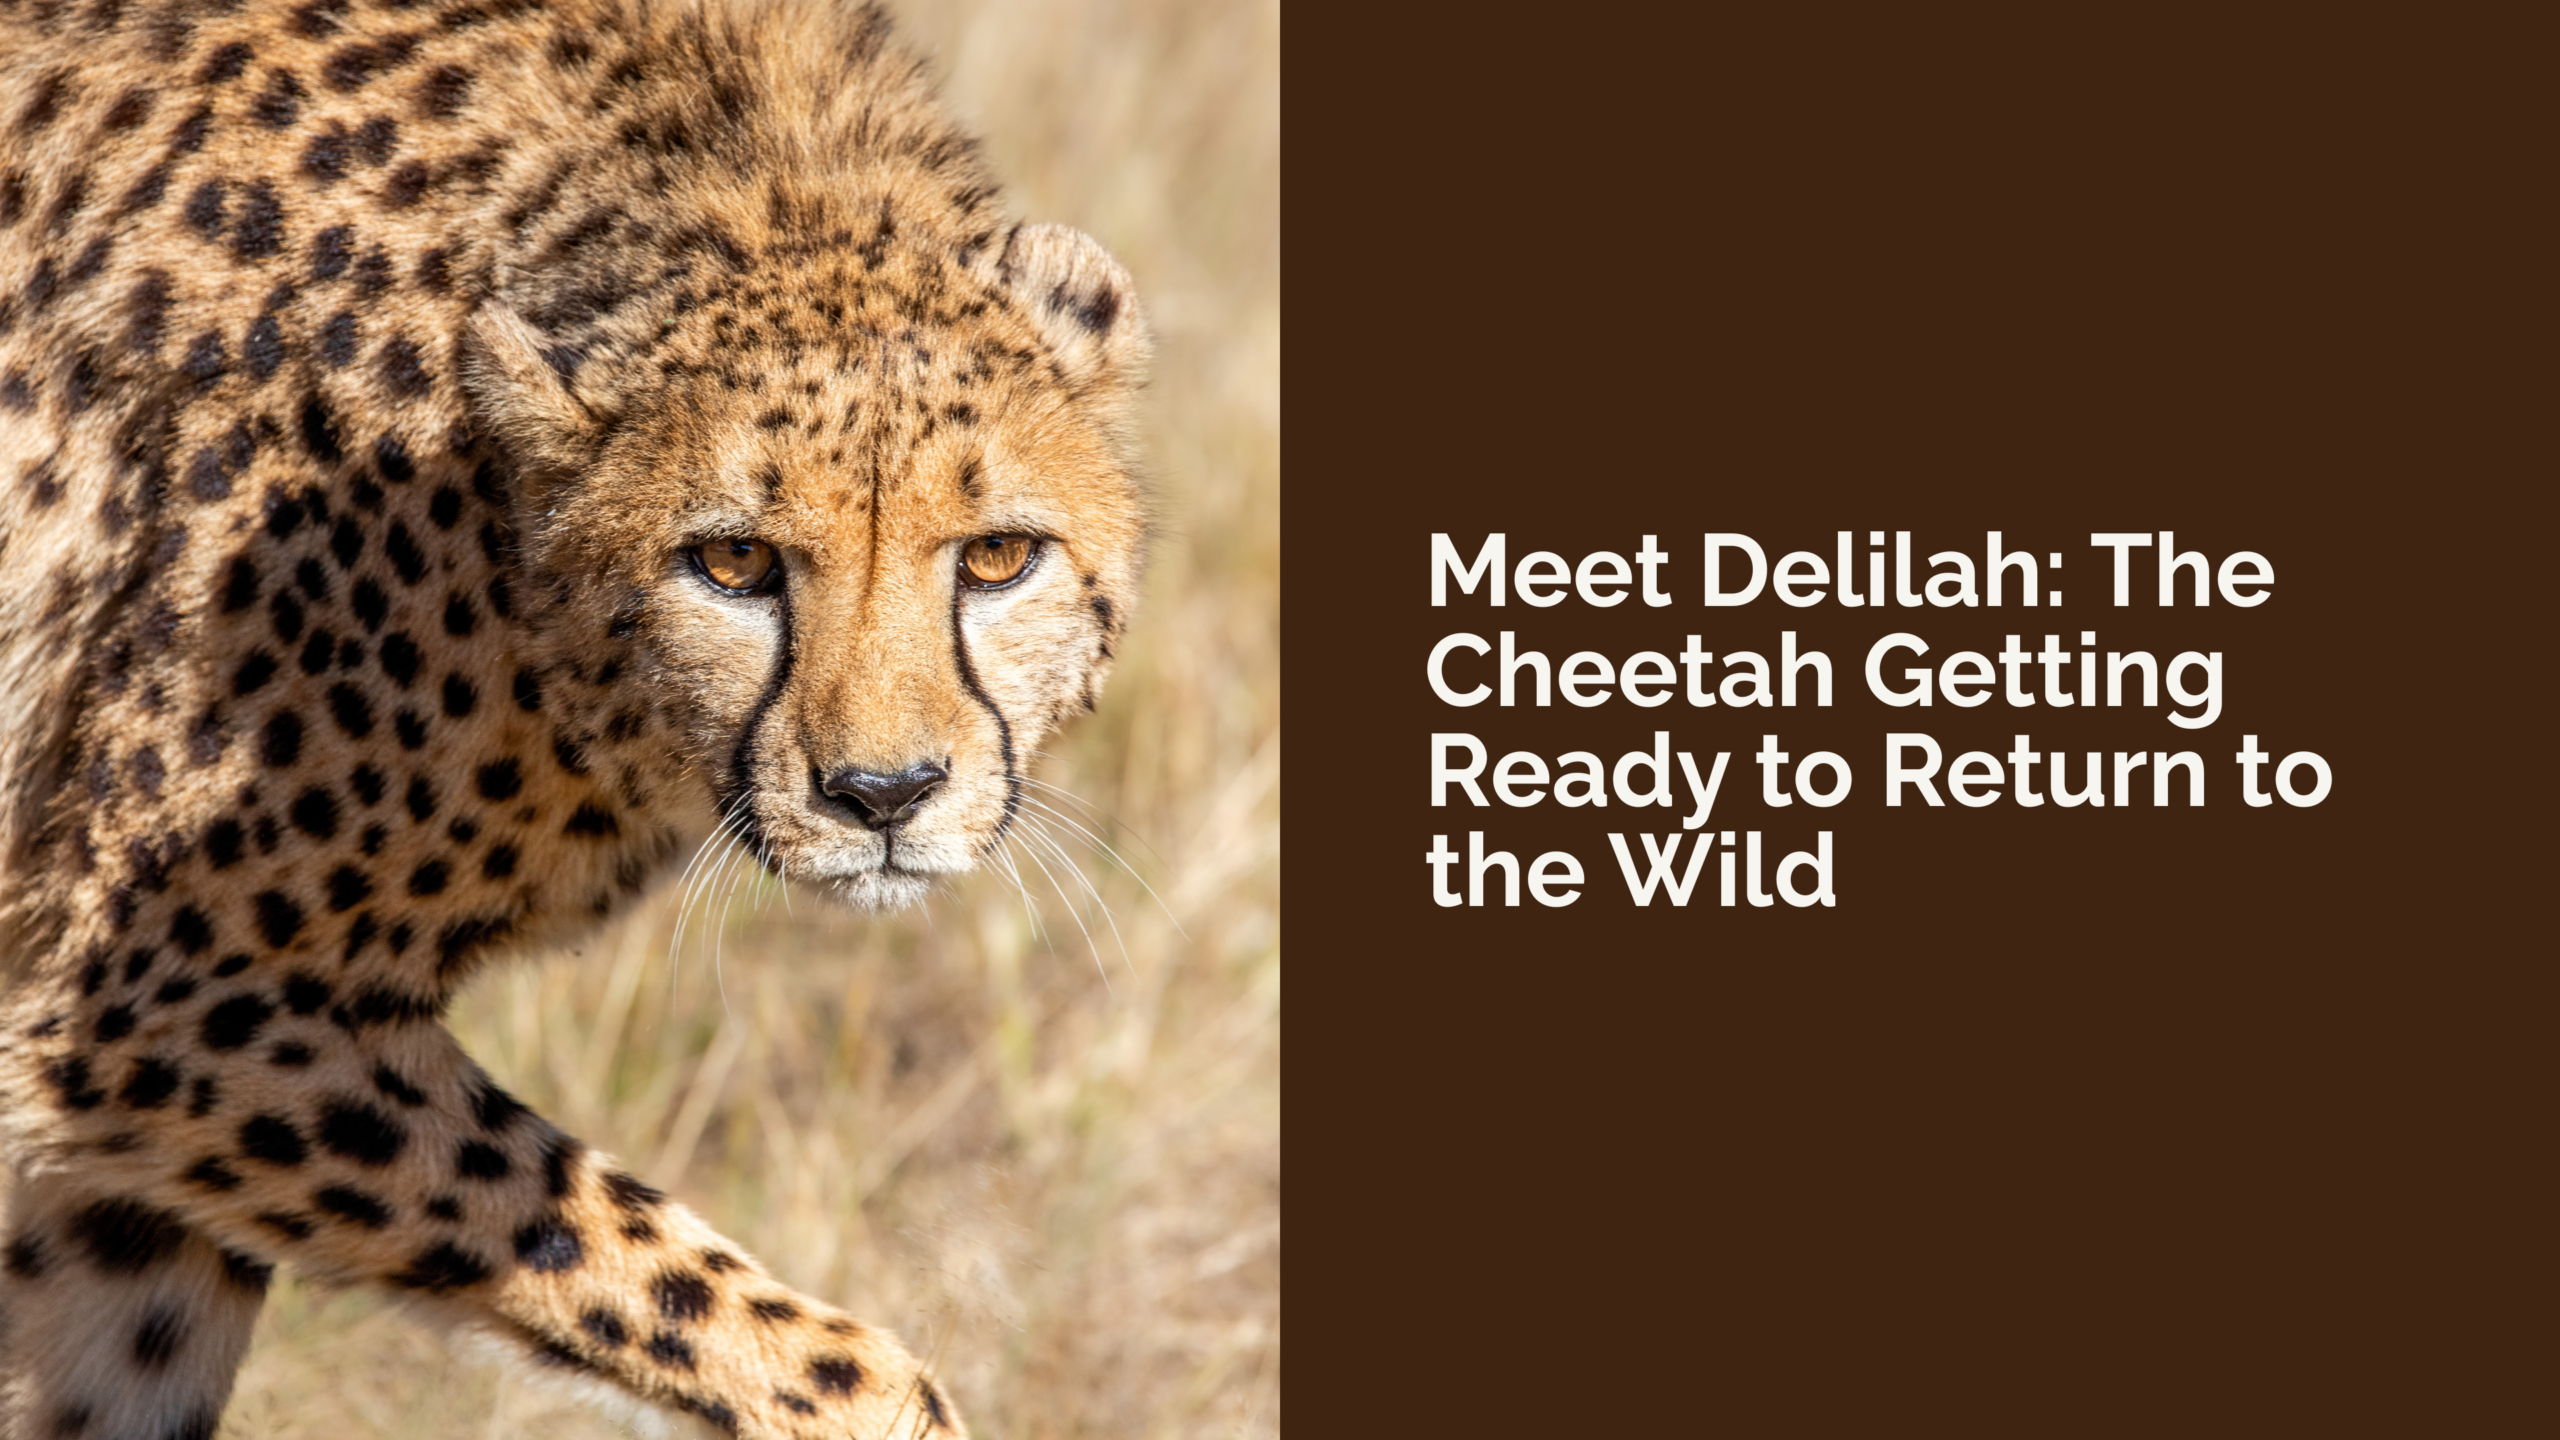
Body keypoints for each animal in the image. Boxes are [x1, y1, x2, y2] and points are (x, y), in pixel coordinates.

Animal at [0, 0, 1150, 1430]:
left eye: (998, 556)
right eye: (733, 561)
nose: (882, 798)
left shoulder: (144, 1086)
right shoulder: (152, 1007)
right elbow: (763, 1326)